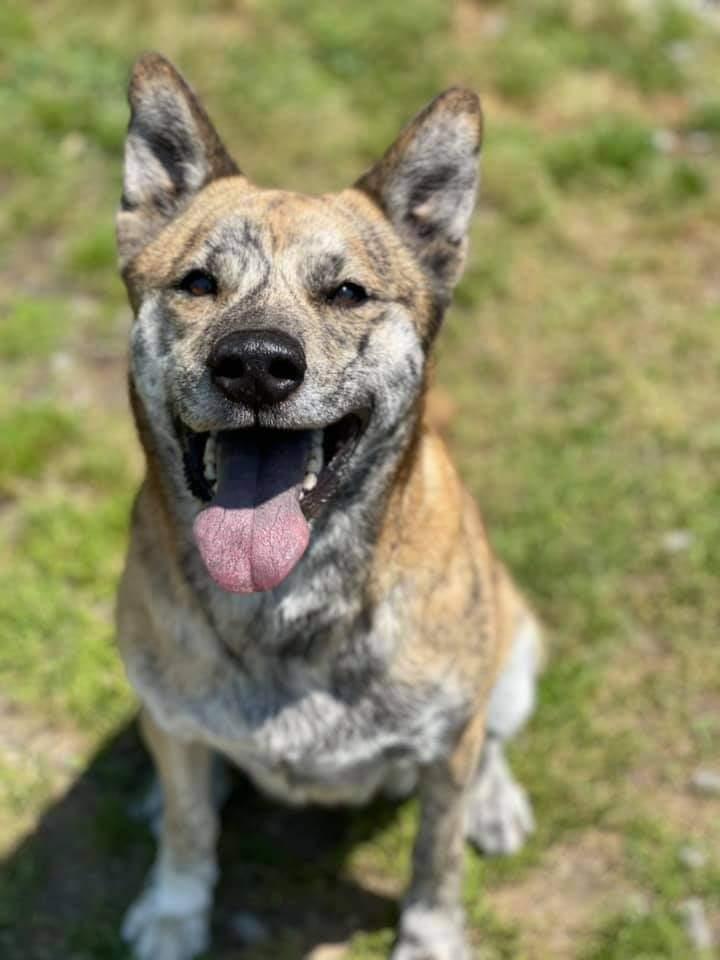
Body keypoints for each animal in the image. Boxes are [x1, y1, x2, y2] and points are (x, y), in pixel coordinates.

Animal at [115, 52, 544, 960]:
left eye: (346, 292)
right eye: (198, 283)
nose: (255, 364)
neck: (289, 601)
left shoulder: (446, 745)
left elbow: (436, 855)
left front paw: (431, 936)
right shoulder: (177, 728)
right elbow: (188, 829)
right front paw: (174, 911)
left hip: (518, 648)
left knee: (491, 737)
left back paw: (495, 801)